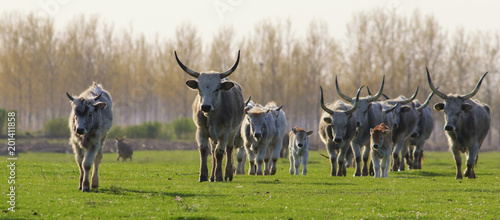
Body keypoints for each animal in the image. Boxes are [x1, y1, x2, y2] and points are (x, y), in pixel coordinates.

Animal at [175, 50, 245, 182]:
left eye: (216, 89)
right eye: (199, 89)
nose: (205, 106)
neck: (212, 117)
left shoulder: (226, 132)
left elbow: (220, 152)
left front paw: (219, 176)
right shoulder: (201, 130)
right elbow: (204, 150)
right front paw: (203, 176)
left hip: (233, 132)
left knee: (228, 149)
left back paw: (228, 174)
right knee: (212, 151)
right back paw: (212, 177)